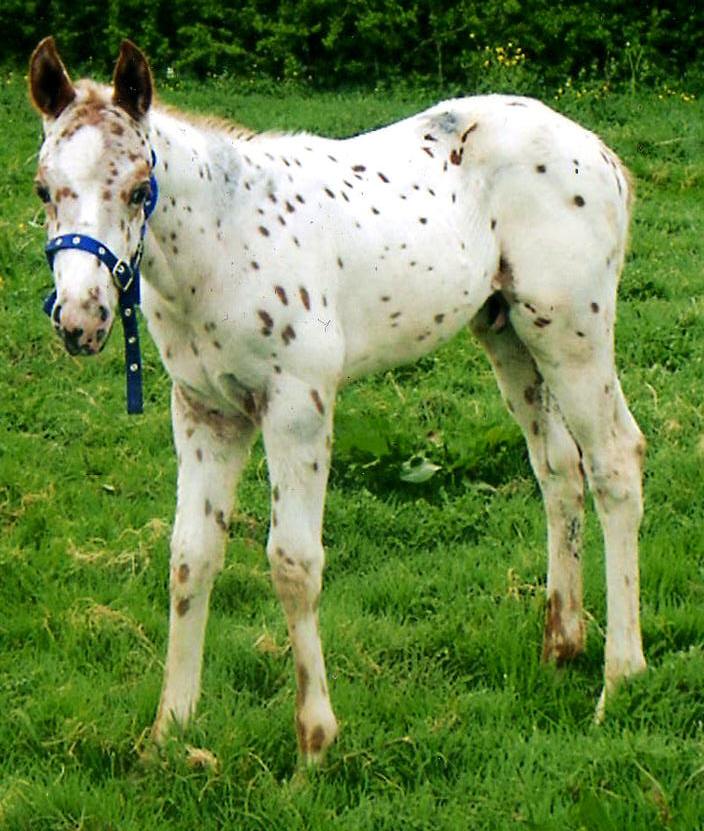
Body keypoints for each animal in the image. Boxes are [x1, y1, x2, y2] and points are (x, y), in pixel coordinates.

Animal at [30, 37, 648, 760]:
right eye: (43, 188)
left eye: (136, 188)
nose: (81, 318)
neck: (219, 248)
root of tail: (599, 151)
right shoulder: (205, 411)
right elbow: (190, 557)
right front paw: (170, 731)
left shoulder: (298, 405)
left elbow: (293, 563)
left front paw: (315, 741)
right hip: (508, 331)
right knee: (558, 469)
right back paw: (561, 644)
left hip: (572, 330)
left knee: (614, 461)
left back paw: (620, 677)